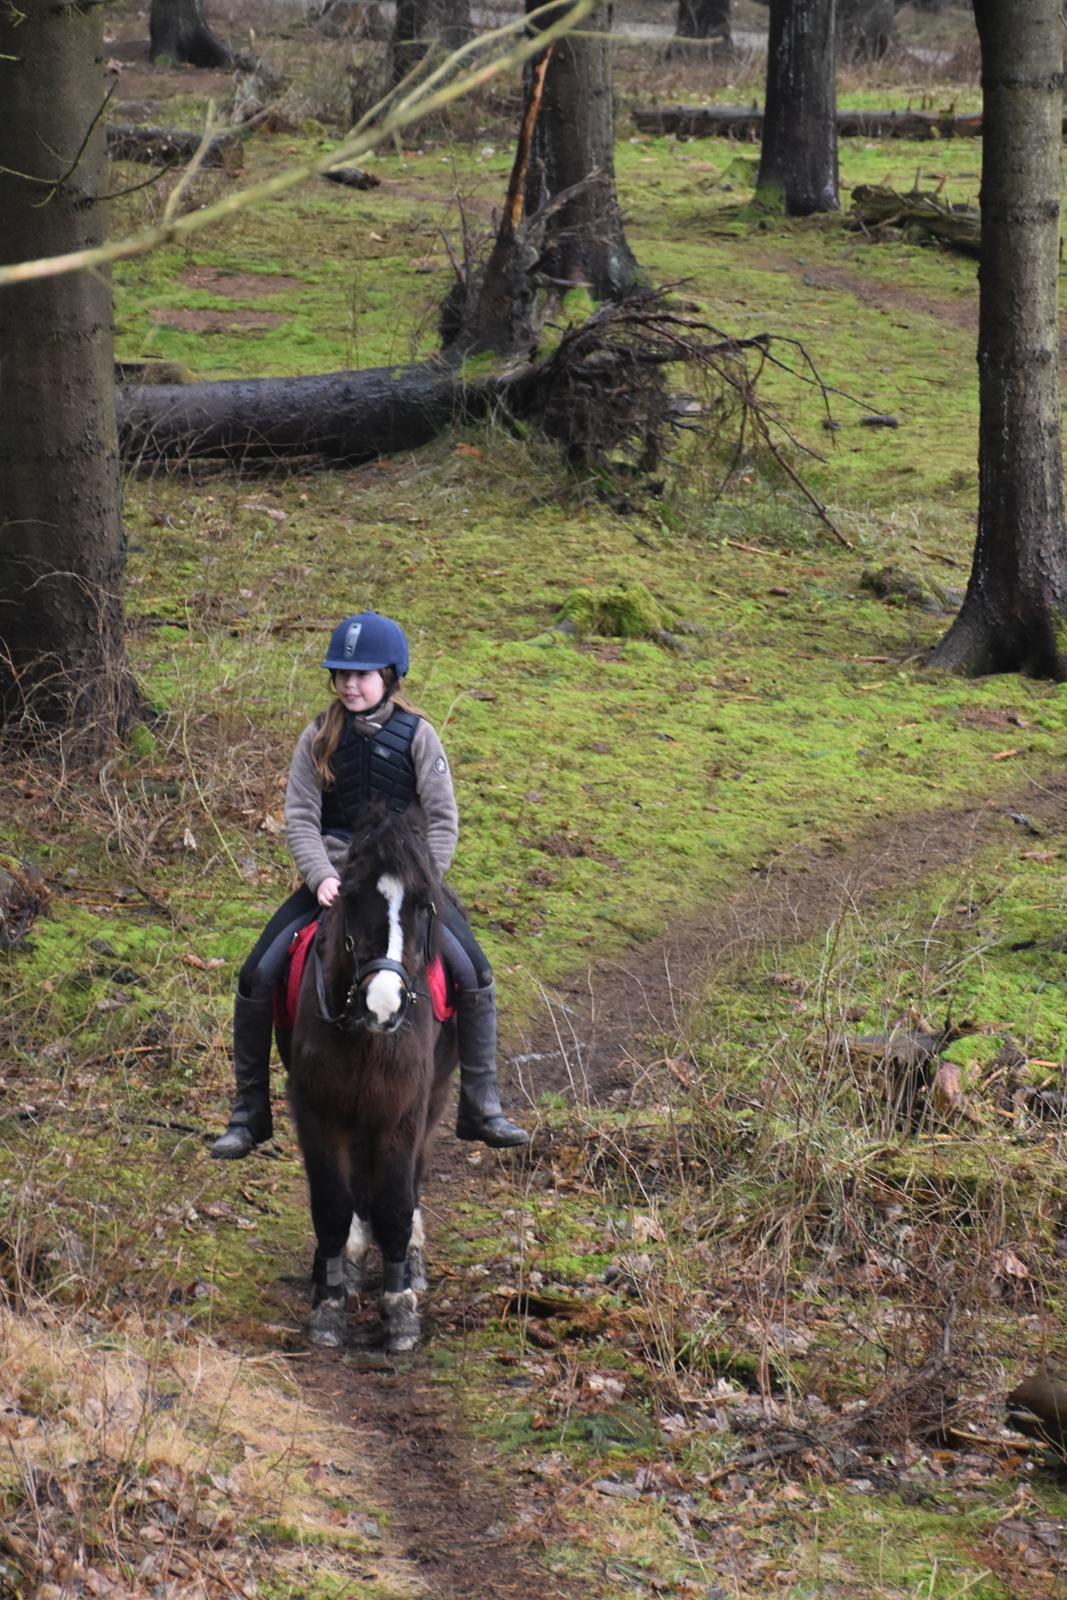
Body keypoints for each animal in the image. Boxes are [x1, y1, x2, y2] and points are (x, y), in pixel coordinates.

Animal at [287, 806, 460, 1344]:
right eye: (351, 896)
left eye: (424, 906)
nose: (384, 1006)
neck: (366, 1036)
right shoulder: (318, 1112)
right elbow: (332, 1204)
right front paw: (328, 1301)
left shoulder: (401, 1112)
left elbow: (395, 1201)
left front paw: (400, 1306)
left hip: (433, 1100)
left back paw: (410, 1262)